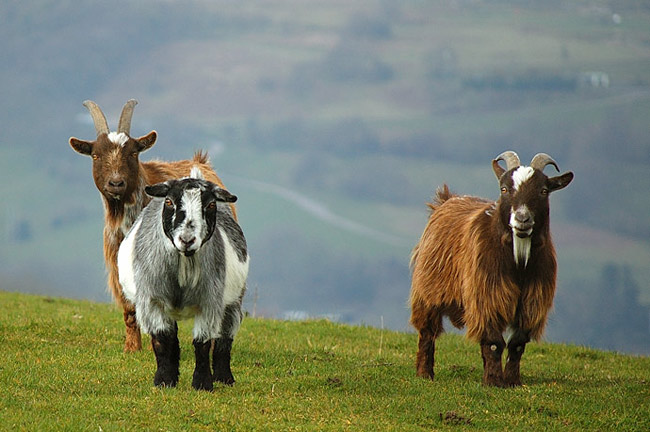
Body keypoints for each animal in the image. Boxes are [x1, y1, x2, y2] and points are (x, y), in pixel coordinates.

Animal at [69, 99, 235, 352]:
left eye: (133, 153)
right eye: (96, 155)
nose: (115, 183)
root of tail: (201, 162)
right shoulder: (117, 262)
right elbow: (130, 308)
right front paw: (132, 348)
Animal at [116, 167, 248, 390]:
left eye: (210, 204)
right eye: (169, 202)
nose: (187, 240)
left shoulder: (210, 302)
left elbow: (203, 343)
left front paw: (203, 383)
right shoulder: (152, 301)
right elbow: (162, 340)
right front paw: (164, 380)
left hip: (233, 300)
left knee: (225, 338)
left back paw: (224, 378)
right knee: (173, 337)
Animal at [410, 152, 572, 388]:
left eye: (544, 190)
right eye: (504, 188)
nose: (522, 219)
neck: (518, 263)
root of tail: (447, 199)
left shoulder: (532, 301)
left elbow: (517, 344)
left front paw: (512, 381)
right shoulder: (488, 294)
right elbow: (495, 342)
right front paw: (494, 381)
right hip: (428, 290)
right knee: (427, 332)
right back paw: (425, 373)